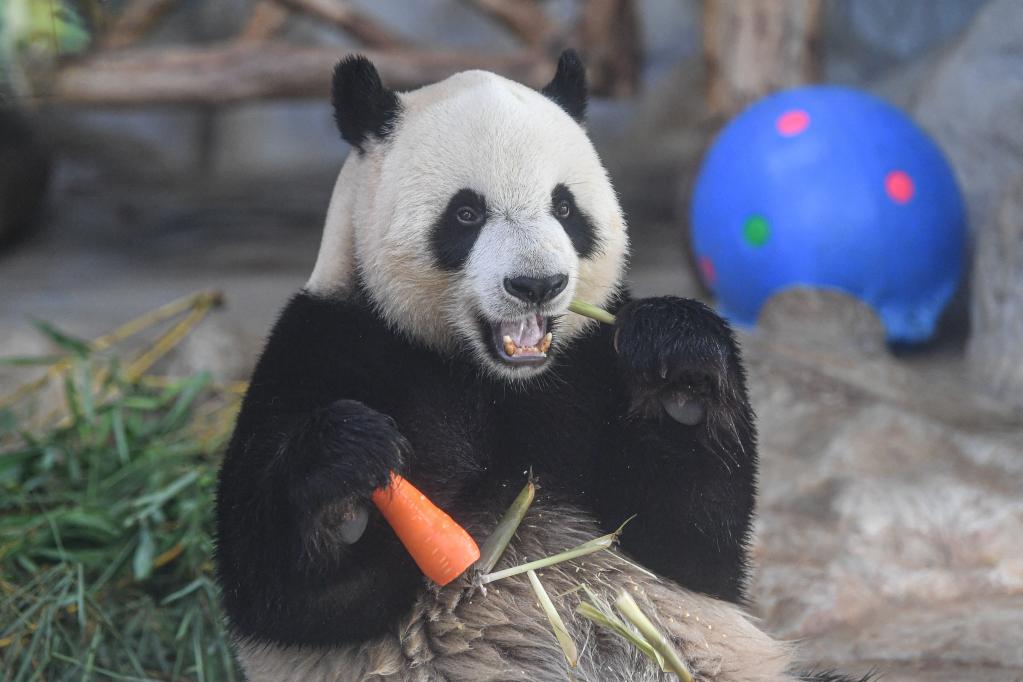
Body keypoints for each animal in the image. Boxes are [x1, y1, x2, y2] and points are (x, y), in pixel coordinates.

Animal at [215, 50, 863, 678]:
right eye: (466, 213)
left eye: (565, 207)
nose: (536, 285)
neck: (496, 378)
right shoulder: (327, 346)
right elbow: (286, 596)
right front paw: (349, 472)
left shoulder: (589, 364)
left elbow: (690, 546)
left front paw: (678, 367)